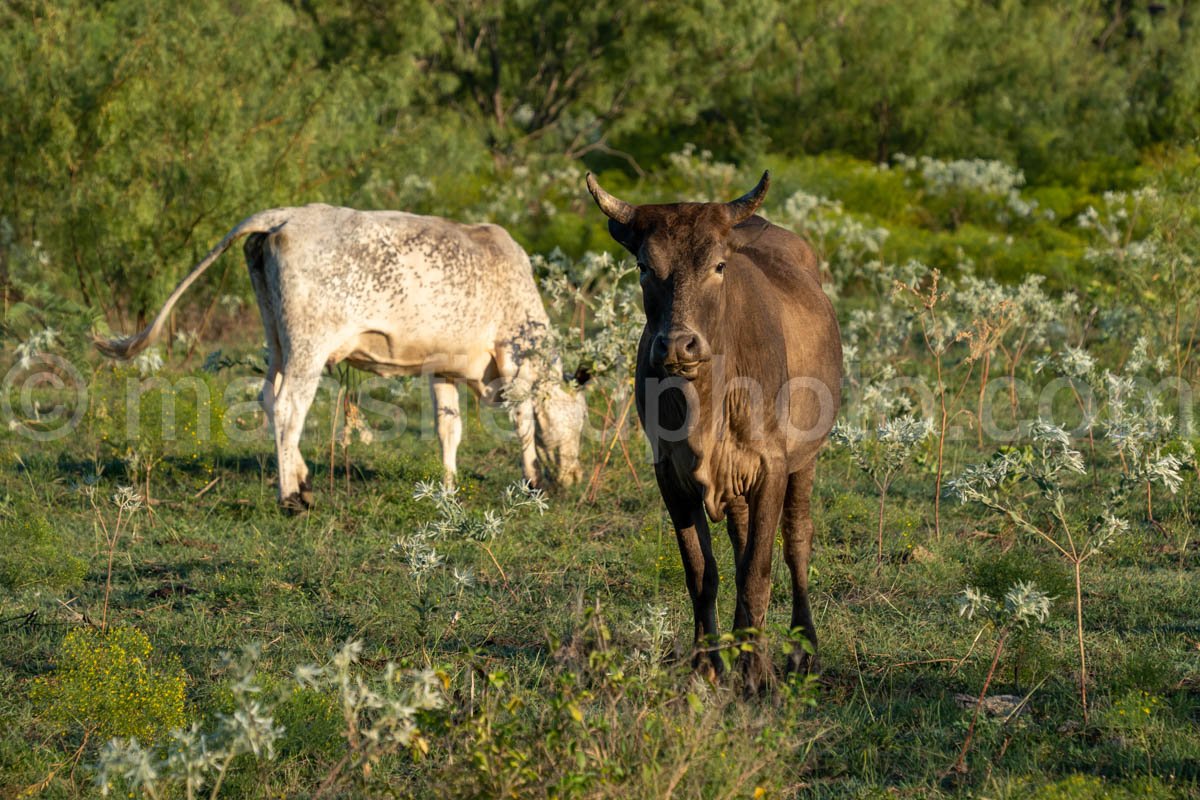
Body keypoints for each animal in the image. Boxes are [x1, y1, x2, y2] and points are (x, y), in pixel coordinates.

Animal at [585, 172, 840, 690]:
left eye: (719, 265)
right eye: (644, 266)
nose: (678, 345)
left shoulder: (773, 466)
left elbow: (758, 570)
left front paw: (755, 670)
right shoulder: (670, 475)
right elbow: (704, 571)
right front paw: (708, 663)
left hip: (806, 460)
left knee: (797, 541)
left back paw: (802, 648)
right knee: (742, 539)